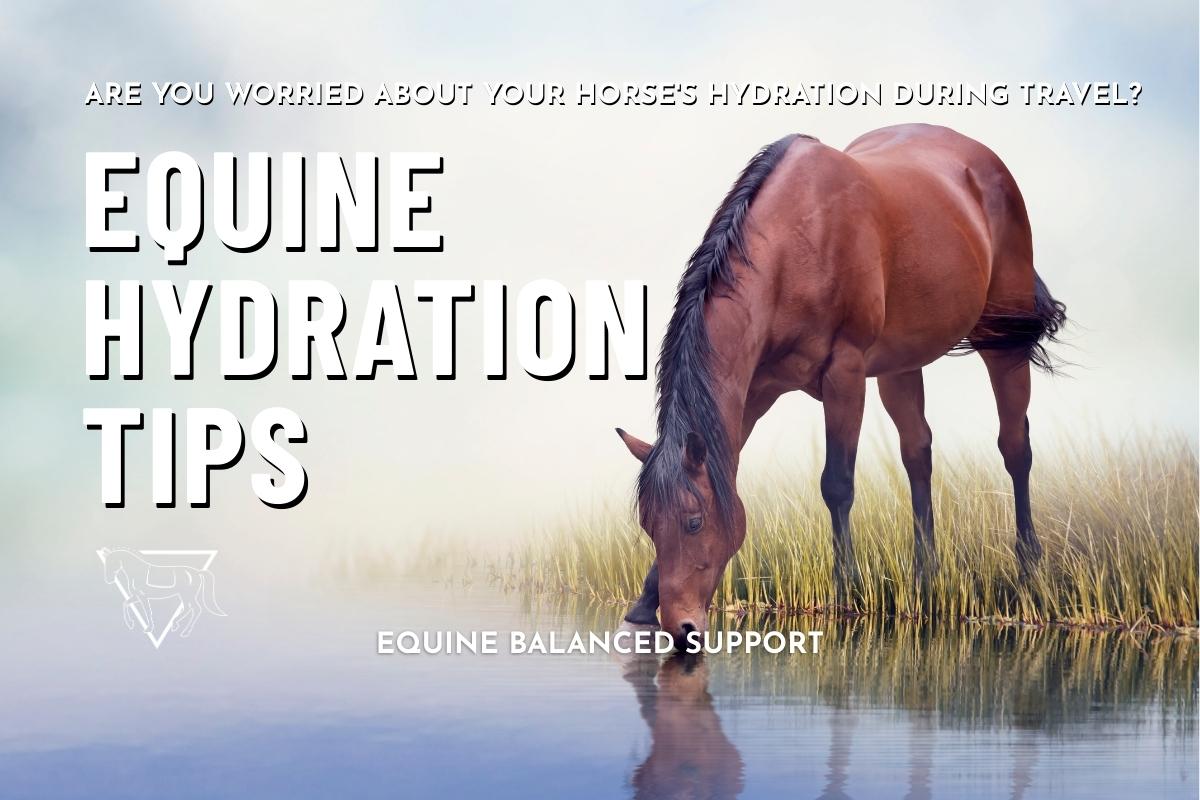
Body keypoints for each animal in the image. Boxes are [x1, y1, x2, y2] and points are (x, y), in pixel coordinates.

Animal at [616, 124, 1067, 643]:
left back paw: (1029, 567)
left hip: (1002, 342)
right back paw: (925, 574)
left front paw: (845, 591)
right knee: (918, 452)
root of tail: (986, 162)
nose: (681, 626)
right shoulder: (752, 392)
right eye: (648, 524)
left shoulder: (845, 375)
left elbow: (837, 483)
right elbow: (723, 466)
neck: (796, 245)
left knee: (1015, 447)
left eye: (693, 522)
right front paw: (643, 602)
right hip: (899, 365)